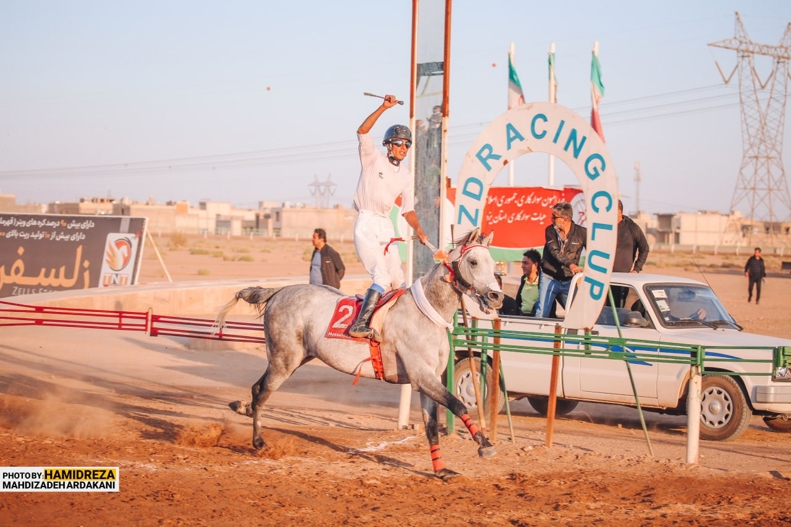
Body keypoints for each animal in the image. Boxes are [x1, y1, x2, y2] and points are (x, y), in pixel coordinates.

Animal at [213, 229, 504, 480]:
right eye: (474, 262)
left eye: (494, 263)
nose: (496, 296)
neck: (427, 313)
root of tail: (278, 291)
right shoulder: (422, 376)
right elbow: (458, 404)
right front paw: (484, 443)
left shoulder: (425, 381)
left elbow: (432, 427)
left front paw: (441, 470)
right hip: (284, 360)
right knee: (263, 391)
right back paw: (258, 440)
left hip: (293, 358)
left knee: (256, 388)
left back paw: (242, 408)